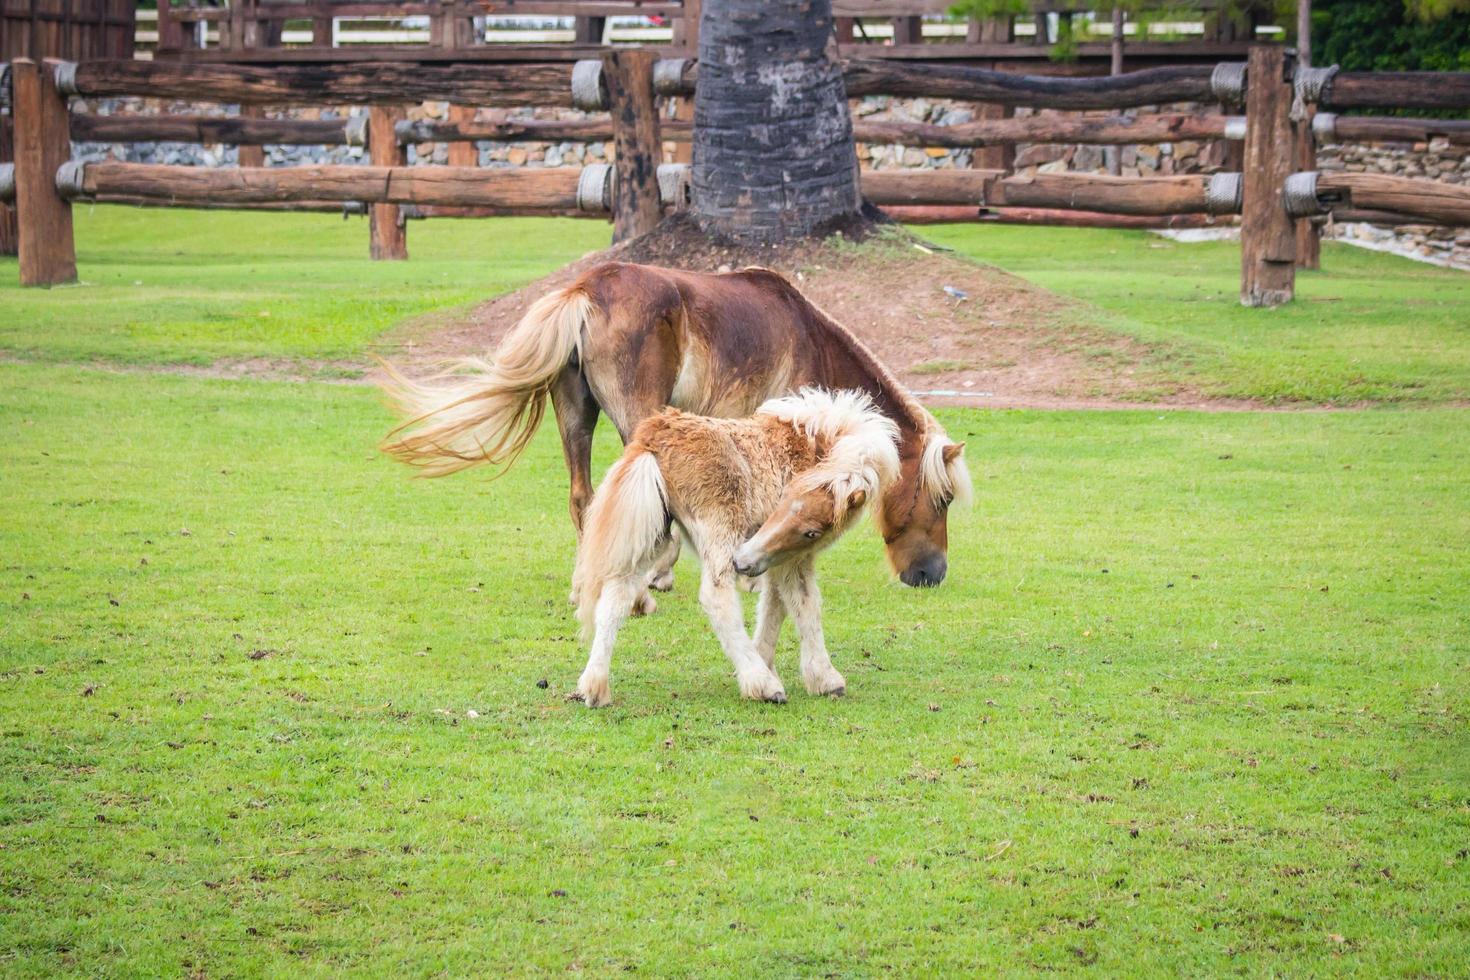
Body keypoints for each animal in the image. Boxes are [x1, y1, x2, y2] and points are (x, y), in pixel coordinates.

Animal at [385, 260, 970, 590]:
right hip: (638, 418)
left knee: (584, 498)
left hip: (576, 416)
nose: (933, 575)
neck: (810, 340)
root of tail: (585, 290)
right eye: (943, 500)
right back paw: (657, 571)